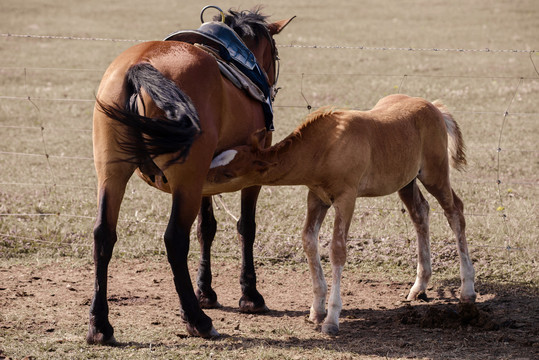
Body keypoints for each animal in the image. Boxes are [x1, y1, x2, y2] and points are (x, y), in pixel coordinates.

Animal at [207, 93, 476, 334]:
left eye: (229, 173)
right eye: (216, 158)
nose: (201, 182)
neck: (326, 147)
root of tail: (434, 106)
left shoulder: (346, 199)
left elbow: (337, 249)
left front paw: (331, 318)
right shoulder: (316, 198)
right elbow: (309, 241)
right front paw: (316, 311)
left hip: (434, 174)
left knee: (455, 213)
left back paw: (467, 290)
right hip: (406, 181)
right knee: (420, 213)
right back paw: (419, 287)